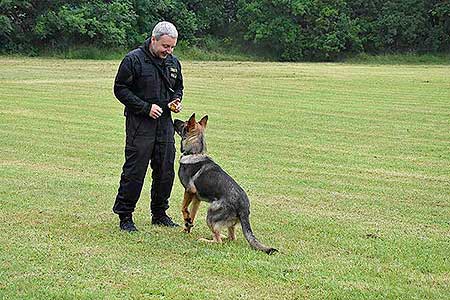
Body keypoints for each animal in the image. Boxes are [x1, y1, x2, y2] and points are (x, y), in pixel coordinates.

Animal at [173, 113, 276, 254]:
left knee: (218, 241)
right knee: (231, 237)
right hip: (228, 223)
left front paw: (187, 222)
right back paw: (222, 235)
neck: (195, 153)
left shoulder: (189, 190)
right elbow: (192, 214)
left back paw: (206, 240)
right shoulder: (196, 199)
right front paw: (187, 227)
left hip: (210, 215)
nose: (174, 119)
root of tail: (243, 207)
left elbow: (183, 208)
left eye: (184, 124)